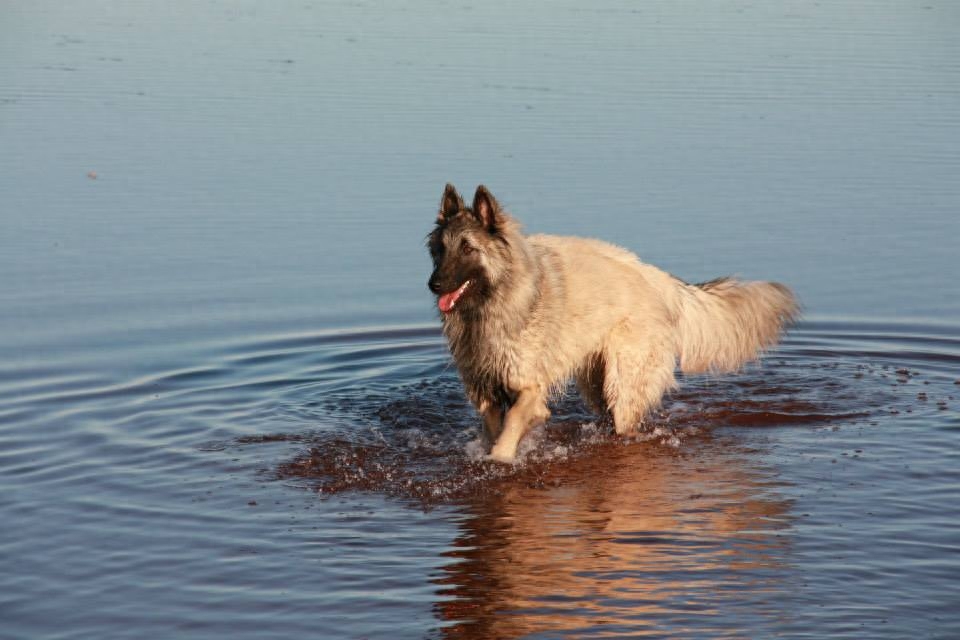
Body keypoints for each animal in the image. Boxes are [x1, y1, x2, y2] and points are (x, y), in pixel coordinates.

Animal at [426, 182, 796, 462]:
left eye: (468, 249)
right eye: (440, 250)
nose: (434, 285)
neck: (493, 300)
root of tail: (659, 278)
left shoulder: (529, 387)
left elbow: (514, 424)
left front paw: (501, 459)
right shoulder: (484, 389)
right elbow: (493, 426)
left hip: (623, 382)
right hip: (597, 382)